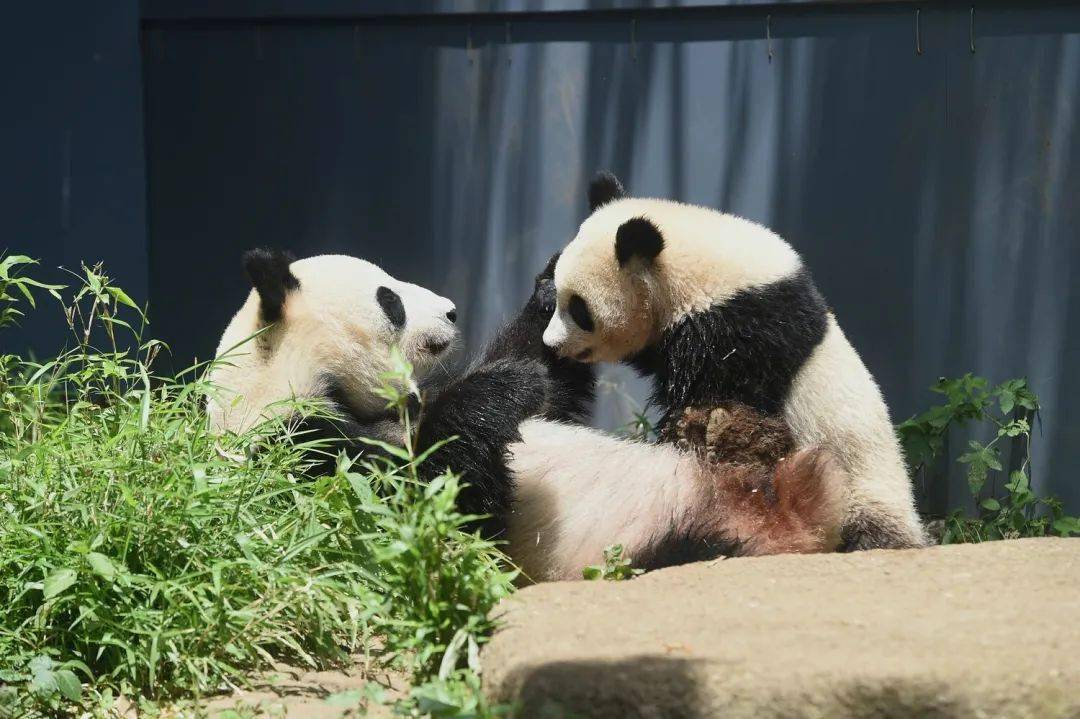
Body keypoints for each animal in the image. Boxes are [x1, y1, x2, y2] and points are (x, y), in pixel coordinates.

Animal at [204, 249, 842, 578]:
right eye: (391, 300)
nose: (451, 311)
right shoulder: (296, 445)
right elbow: (429, 508)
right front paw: (504, 386)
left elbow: (551, 385)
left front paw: (554, 283)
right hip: (651, 549)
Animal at [544, 172, 924, 548]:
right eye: (561, 294)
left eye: (580, 310)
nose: (552, 344)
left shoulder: (741, 330)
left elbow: (715, 391)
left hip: (862, 488)